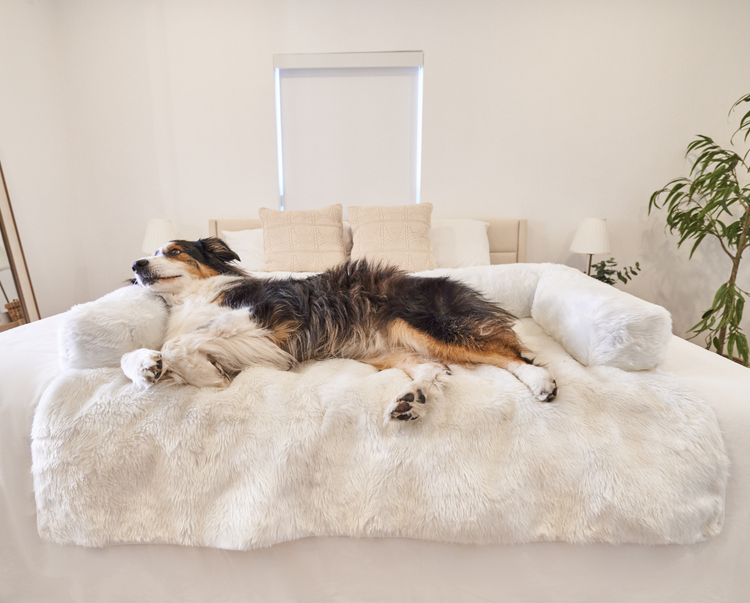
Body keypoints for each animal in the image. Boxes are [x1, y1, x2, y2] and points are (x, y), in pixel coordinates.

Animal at [125, 236, 560, 420]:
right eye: (150, 251)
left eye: (174, 251)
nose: (136, 264)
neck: (195, 295)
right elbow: (142, 354)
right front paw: (149, 366)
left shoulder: (261, 319)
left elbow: (182, 342)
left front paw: (205, 376)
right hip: (390, 349)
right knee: (435, 368)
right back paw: (412, 399)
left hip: (430, 325)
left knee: (510, 353)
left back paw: (541, 382)